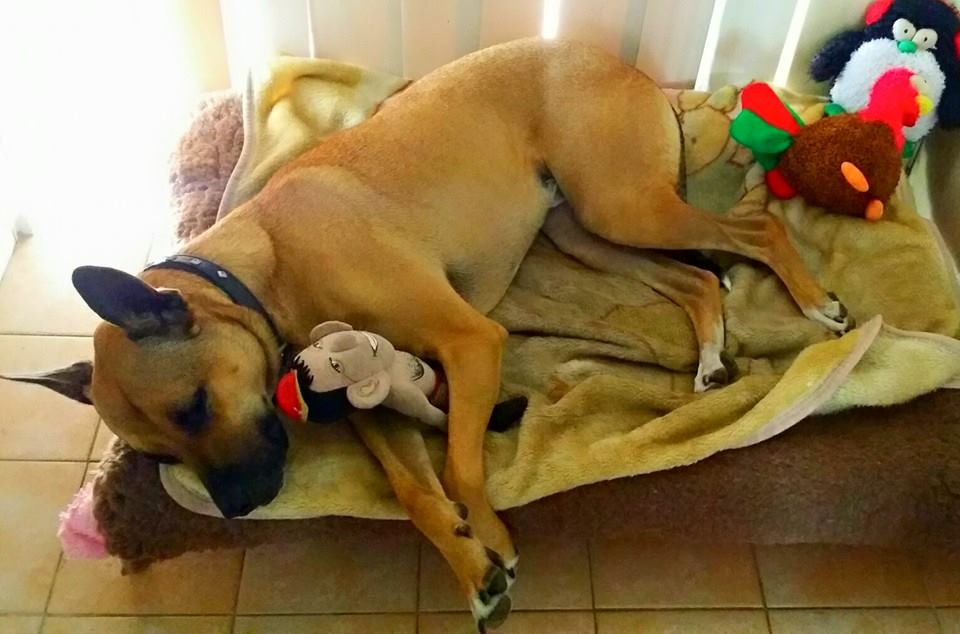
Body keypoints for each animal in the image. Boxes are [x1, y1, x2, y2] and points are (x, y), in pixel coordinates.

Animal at [6, 39, 850, 631]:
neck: (264, 263)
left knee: (758, 229)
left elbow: (460, 463)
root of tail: (630, 69)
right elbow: (413, 489)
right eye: (157, 456)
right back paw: (709, 358)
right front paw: (469, 562)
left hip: (621, 205)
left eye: (192, 407)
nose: (240, 508)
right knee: (699, 279)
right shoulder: (370, 398)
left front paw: (493, 535)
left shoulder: (470, 342)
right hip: (589, 229)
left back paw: (817, 305)